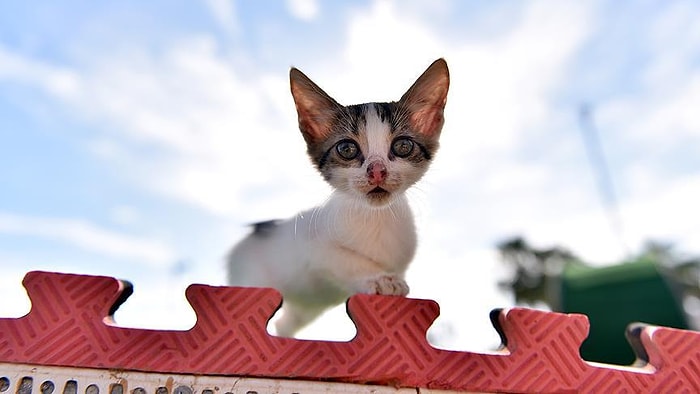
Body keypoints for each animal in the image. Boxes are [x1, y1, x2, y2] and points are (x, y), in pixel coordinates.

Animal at [227, 57, 452, 336]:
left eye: (403, 146)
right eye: (346, 149)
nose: (377, 171)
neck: (375, 219)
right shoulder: (311, 245)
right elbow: (343, 258)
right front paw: (380, 278)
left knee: (284, 323)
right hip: (250, 277)